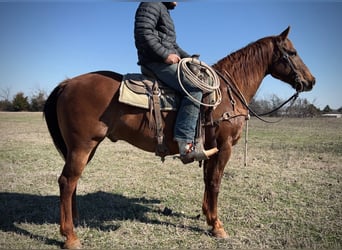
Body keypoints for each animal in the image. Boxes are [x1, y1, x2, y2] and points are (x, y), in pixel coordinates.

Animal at [44, 27, 316, 248]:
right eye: (292, 52)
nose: (311, 81)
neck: (225, 93)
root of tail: (67, 83)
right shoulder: (224, 146)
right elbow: (215, 182)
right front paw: (217, 226)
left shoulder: (209, 148)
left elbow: (207, 180)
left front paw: (207, 216)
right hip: (82, 146)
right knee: (67, 181)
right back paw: (70, 236)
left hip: (84, 148)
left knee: (72, 181)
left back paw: (74, 222)